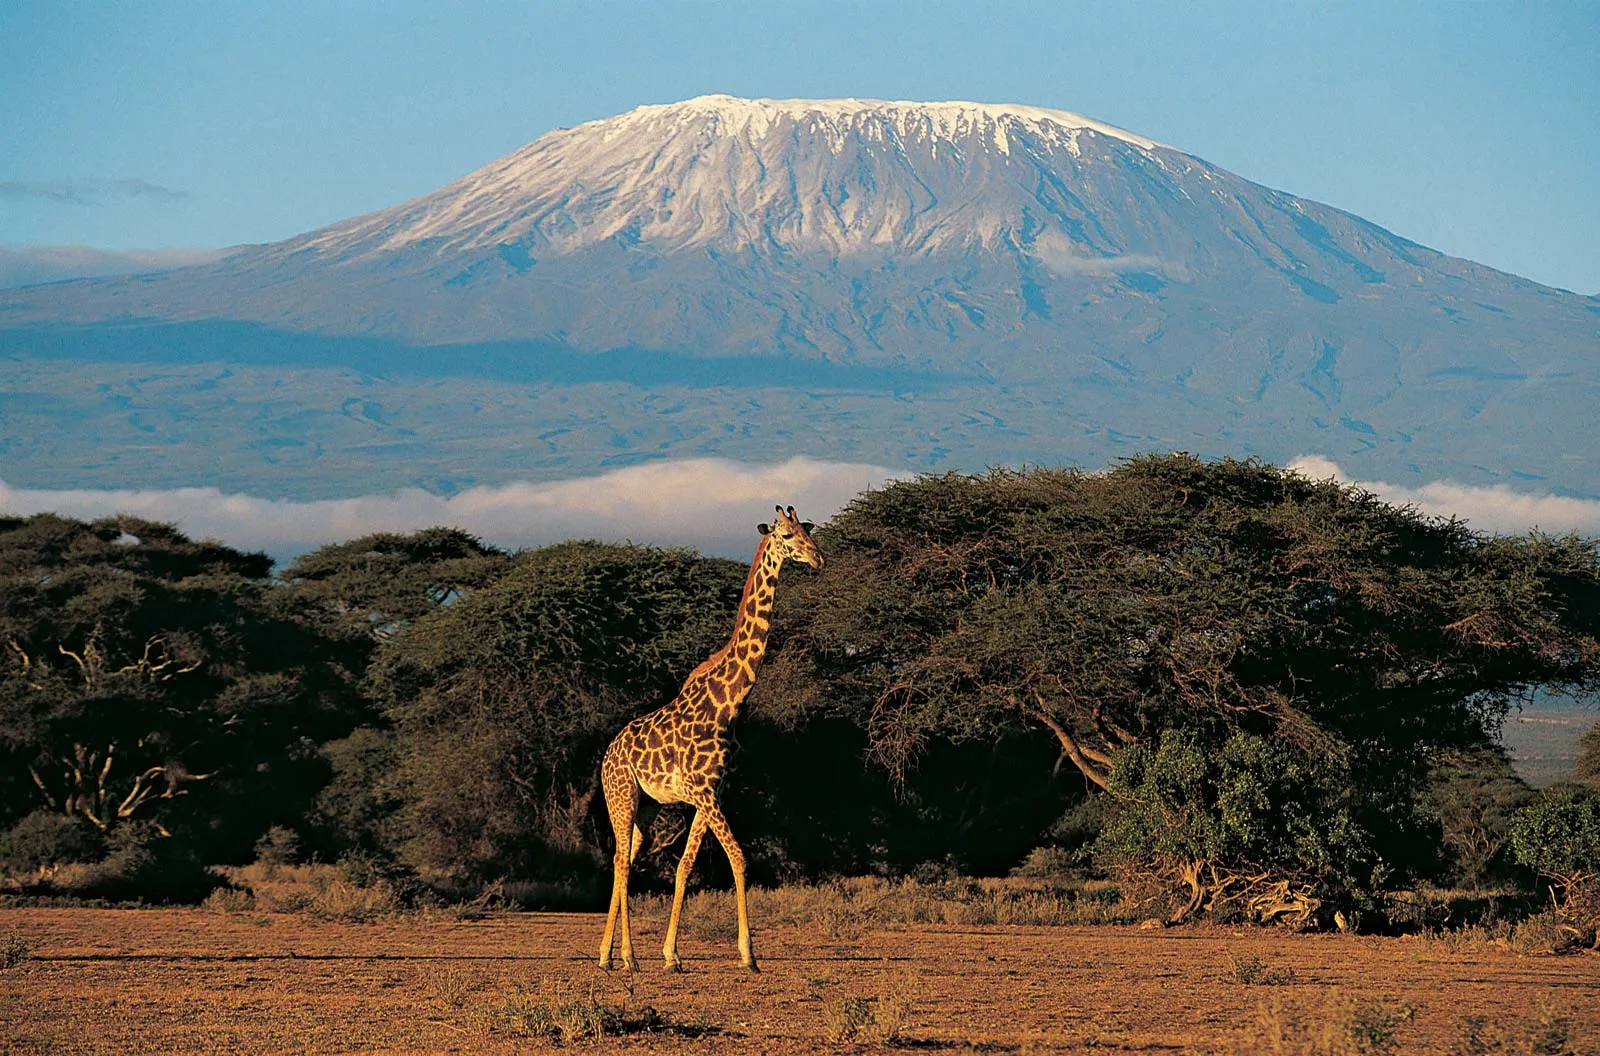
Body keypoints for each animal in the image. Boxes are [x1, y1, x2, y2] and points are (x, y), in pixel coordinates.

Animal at [597, 504, 823, 973]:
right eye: (786, 535)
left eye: (808, 531)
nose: (817, 558)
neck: (729, 702)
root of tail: (607, 754)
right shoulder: (703, 792)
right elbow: (738, 857)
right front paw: (748, 955)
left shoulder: (712, 791)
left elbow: (685, 865)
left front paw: (671, 954)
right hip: (620, 795)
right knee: (621, 860)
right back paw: (627, 956)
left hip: (646, 807)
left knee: (625, 858)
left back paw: (607, 954)